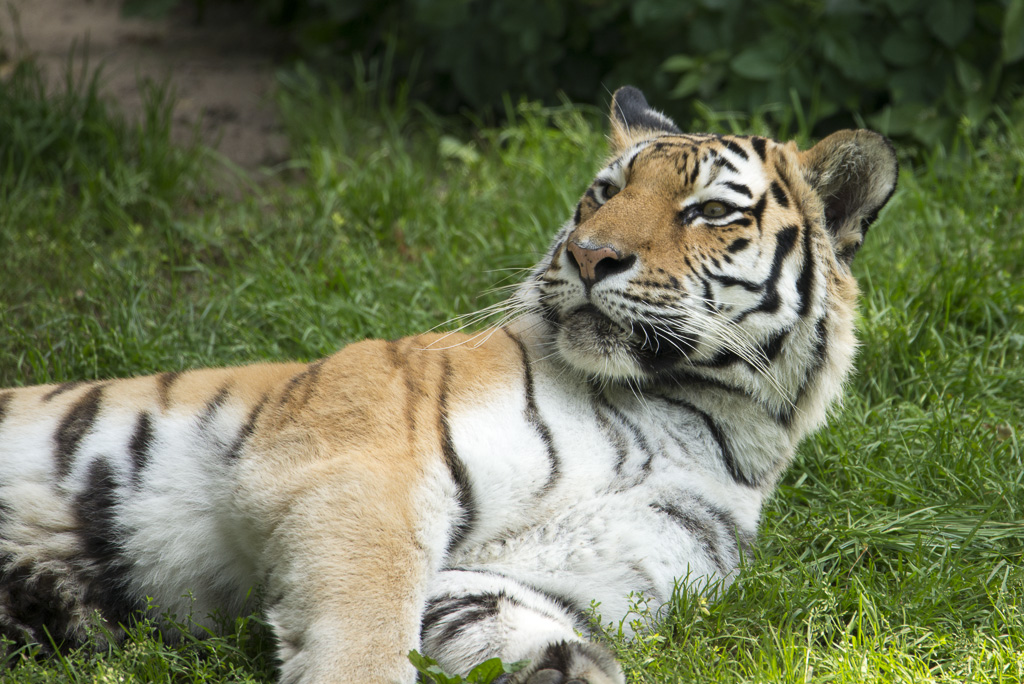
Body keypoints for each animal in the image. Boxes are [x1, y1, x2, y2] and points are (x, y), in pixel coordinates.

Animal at [0, 86, 897, 683]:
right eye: (604, 193)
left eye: (709, 211)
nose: (590, 255)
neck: (695, 415)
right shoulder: (356, 465)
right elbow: (369, 629)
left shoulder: (536, 573)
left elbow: (500, 622)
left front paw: (565, 667)